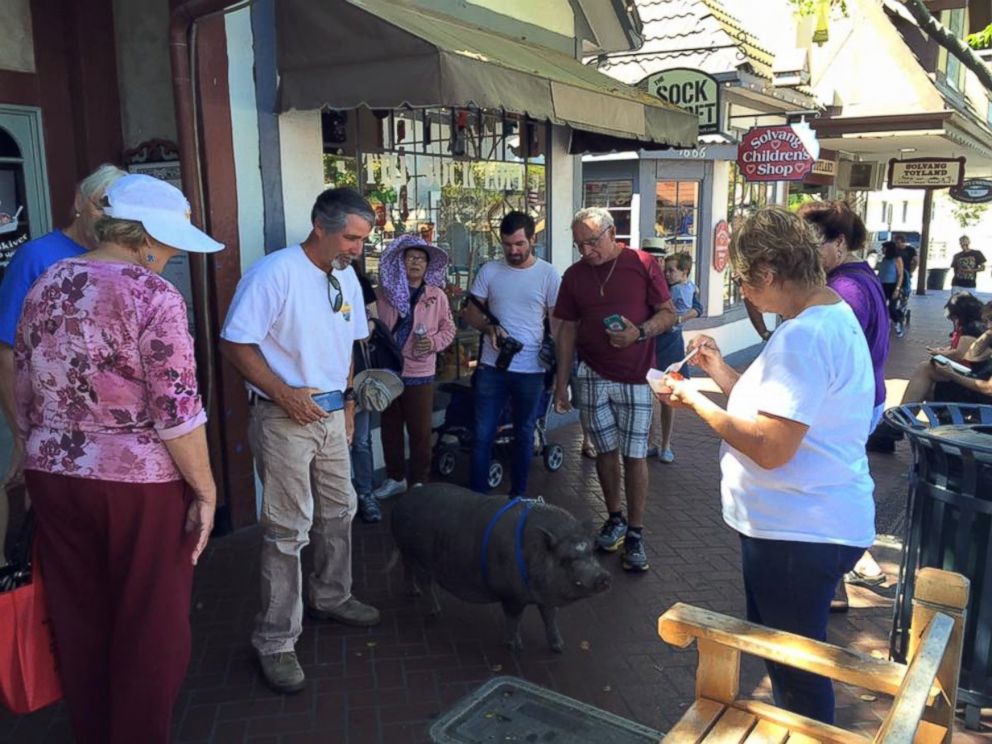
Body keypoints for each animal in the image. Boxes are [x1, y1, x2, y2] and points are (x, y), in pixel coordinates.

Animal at [390, 482, 608, 652]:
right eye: (566, 559)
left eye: (592, 550)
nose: (604, 577)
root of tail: (407, 496)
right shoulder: (512, 596)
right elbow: (514, 619)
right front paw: (515, 647)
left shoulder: (546, 595)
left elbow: (550, 618)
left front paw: (559, 647)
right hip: (419, 558)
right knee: (425, 583)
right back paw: (434, 611)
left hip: (407, 553)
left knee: (407, 570)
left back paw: (413, 593)